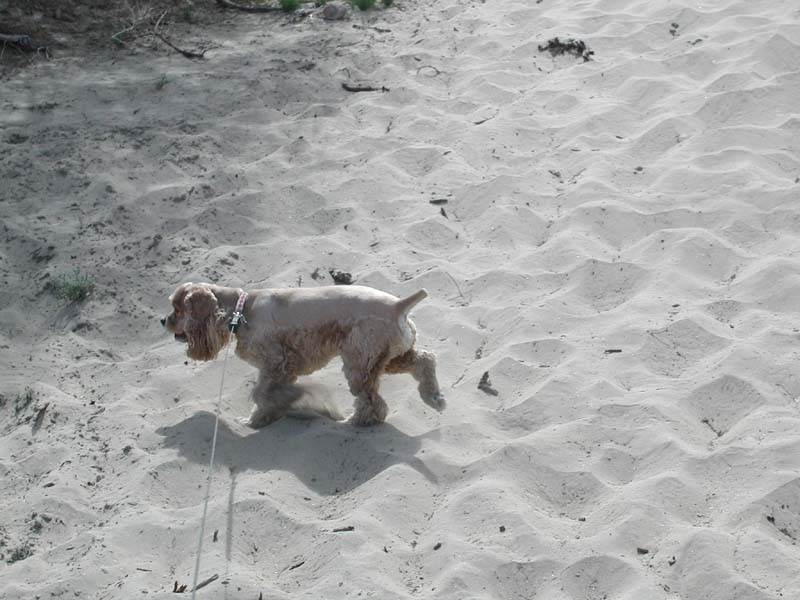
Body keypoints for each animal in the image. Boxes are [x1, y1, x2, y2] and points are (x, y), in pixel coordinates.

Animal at [161, 282, 444, 426]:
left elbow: (260, 393)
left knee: (372, 401)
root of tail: (398, 305)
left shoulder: (276, 362)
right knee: (425, 360)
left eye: (178, 308)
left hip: (359, 361)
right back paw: (434, 397)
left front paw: (256, 419)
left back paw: (354, 421)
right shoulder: (284, 368)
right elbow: (270, 393)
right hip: (390, 357)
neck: (242, 310)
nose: (163, 320)